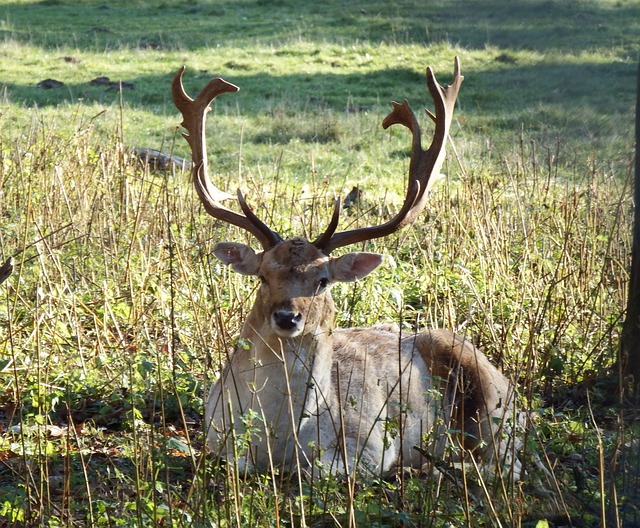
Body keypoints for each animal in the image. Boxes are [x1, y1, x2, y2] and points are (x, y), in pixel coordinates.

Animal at [172, 56, 524, 478]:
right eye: (262, 276)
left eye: (323, 280)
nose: (287, 317)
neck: (277, 439)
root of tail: (515, 392)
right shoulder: (214, 436)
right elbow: (236, 463)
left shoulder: (372, 441)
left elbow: (319, 470)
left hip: (493, 407)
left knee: (505, 463)